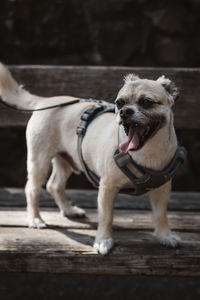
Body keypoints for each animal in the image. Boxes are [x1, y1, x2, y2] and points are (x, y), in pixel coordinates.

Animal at [0, 62, 181, 253]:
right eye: (119, 103)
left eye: (147, 102)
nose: (124, 111)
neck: (147, 150)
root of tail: (45, 101)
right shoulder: (107, 188)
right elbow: (106, 217)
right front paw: (103, 241)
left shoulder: (162, 189)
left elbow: (161, 215)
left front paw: (165, 236)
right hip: (39, 162)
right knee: (32, 189)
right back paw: (35, 219)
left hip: (66, 161)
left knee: (54, 185)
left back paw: (69, 210)